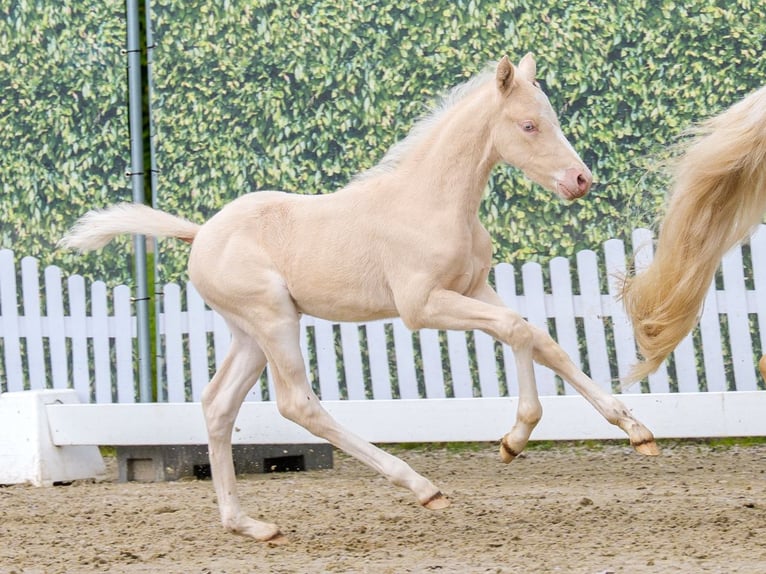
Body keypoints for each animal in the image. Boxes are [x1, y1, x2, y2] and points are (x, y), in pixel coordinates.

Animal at [60, 54, 658, 543]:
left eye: (551, 118)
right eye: (528, 125)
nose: (580, 180)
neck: (433, 201)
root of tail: (201, 232)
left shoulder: (472, 287)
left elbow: (540, 337)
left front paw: (636, 431)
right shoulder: (422, 306)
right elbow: (516, 331)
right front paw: (515, 438)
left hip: (248, 334)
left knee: (217, 404)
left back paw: (249, 525)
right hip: (272, 318)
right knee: (297, 403)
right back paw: (421, 487)